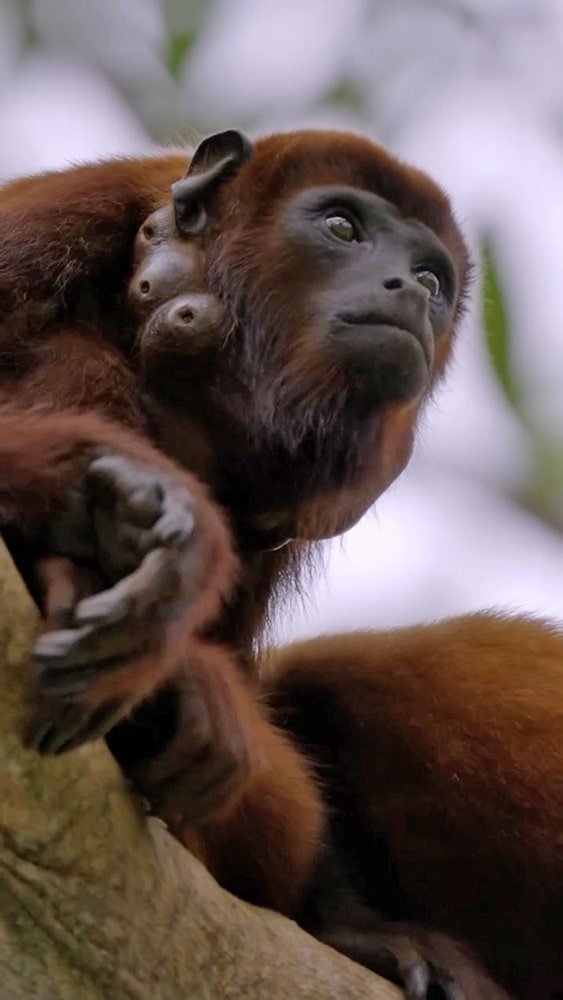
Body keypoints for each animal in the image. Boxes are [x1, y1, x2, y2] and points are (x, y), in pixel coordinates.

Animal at [0, 128, 492, 997]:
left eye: (434, 279)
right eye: (342, 228)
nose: (409, 291)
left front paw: (357, 929)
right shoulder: (47, 228)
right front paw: (107, 503)